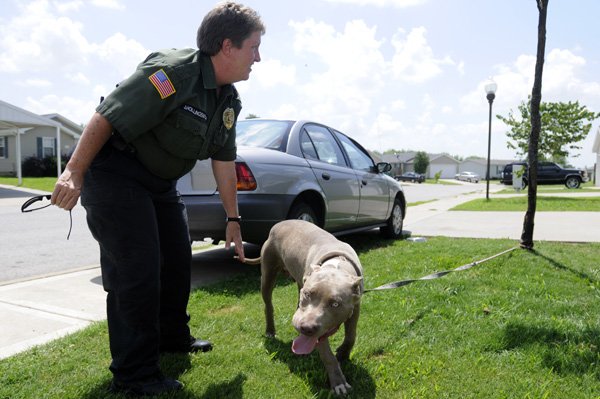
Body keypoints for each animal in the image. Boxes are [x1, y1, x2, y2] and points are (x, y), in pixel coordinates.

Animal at [243, 220, 364, 396]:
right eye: (307, 294)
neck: (335, 266)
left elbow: (351, 336)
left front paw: (343, 353)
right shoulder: (319, 332)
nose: (306, 328)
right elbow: (327, 355)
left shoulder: (355, 308)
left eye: (335, 304)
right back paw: (270, 330)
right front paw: (338, 382)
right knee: (268, 304)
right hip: (268, 274)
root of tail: (279, 224)